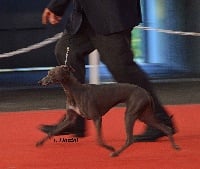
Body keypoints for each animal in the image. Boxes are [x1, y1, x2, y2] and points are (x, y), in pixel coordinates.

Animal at [36, 65, 180, 157]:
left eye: (51, 73)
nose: (40, 82)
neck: (74, 90)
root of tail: (146, 92)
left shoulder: (97, 118)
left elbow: (99, 140)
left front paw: (110, 147)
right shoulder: (70, 118)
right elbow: (53, 131)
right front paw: (40, 142)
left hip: (130, 114)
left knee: (130, 139)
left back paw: (115, 153)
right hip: (145, 116)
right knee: (166, 128)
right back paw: (175, 147)